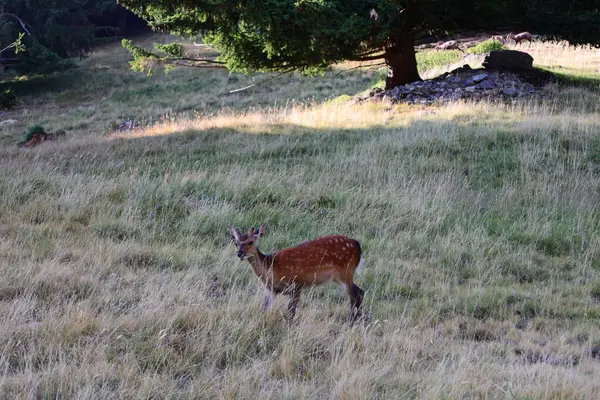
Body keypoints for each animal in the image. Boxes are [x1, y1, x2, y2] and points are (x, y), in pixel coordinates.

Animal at [227, 227, 364, 324]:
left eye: (250, 242)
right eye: (236, 243)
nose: (239, 253)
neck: (272, 266)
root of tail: (358, 246)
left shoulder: (296, 285)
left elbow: (291, 312)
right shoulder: (271, 289)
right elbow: (265, 308)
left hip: (345, 272)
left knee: (356, 293)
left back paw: (352, 320)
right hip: (341, 276)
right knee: (359, 292)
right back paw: (357, 318)